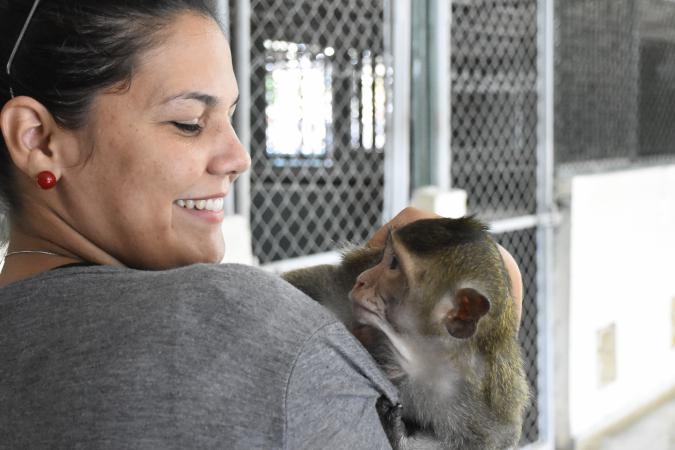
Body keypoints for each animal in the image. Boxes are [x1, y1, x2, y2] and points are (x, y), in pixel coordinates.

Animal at [282, 216, 532, 448]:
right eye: (383, 257)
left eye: (393, 263)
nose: (361, 280)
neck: (418, 358)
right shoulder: (347, 279)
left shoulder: (482, 401)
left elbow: (494, 439)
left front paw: (399, 436)